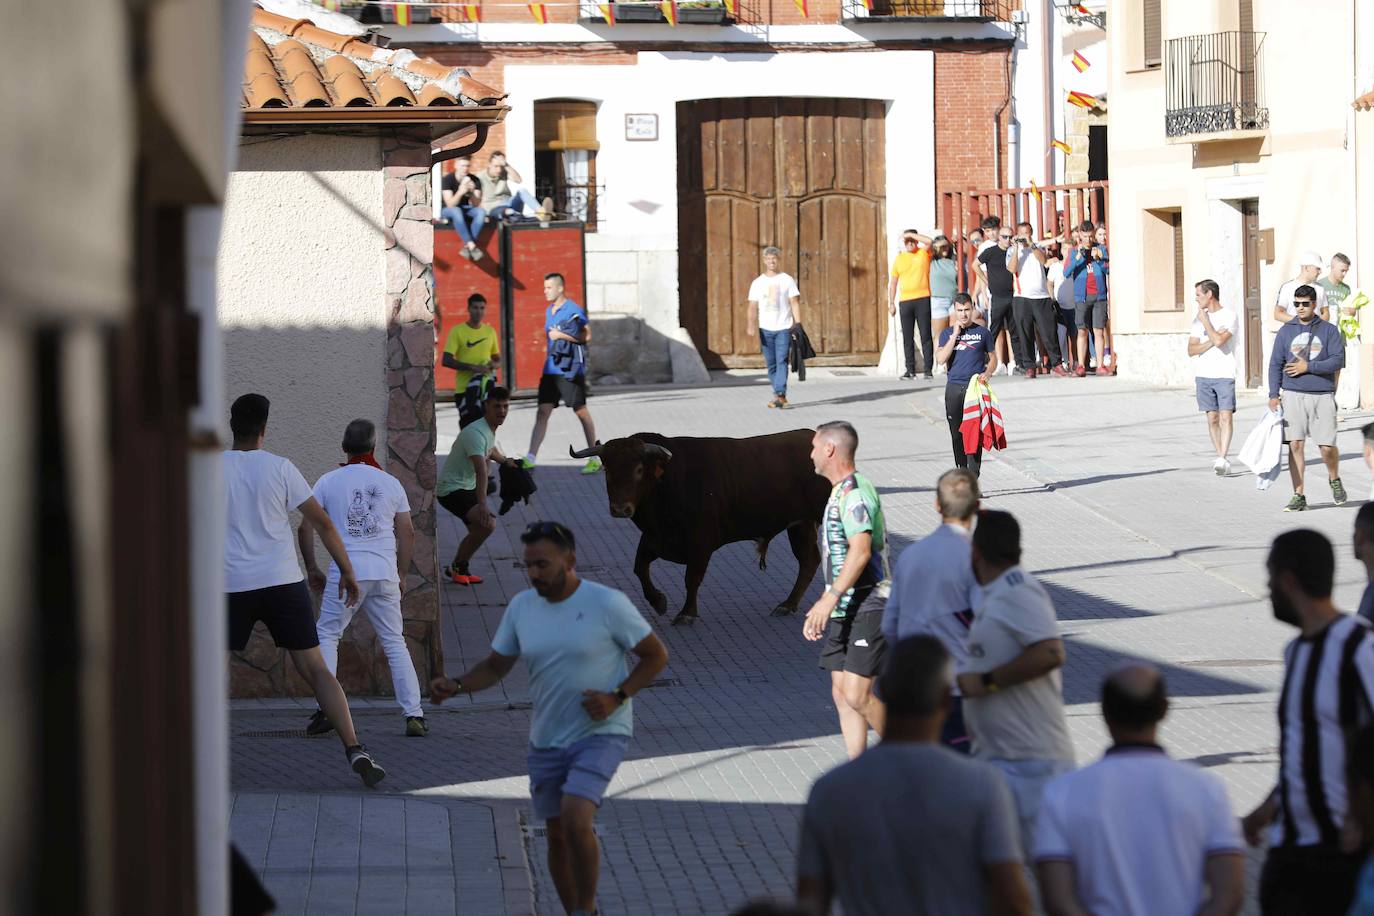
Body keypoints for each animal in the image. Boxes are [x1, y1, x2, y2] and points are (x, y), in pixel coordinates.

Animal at [568, 431, 824, 623]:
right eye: (607, 470)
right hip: (800, 525)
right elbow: (640, 568)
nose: (621, 509)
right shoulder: (654, 538)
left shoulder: (701, 542)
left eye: (639, 470)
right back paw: (787, 605)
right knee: (809, 561)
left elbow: (692, 578)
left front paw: (686, 613)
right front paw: (658, 601)